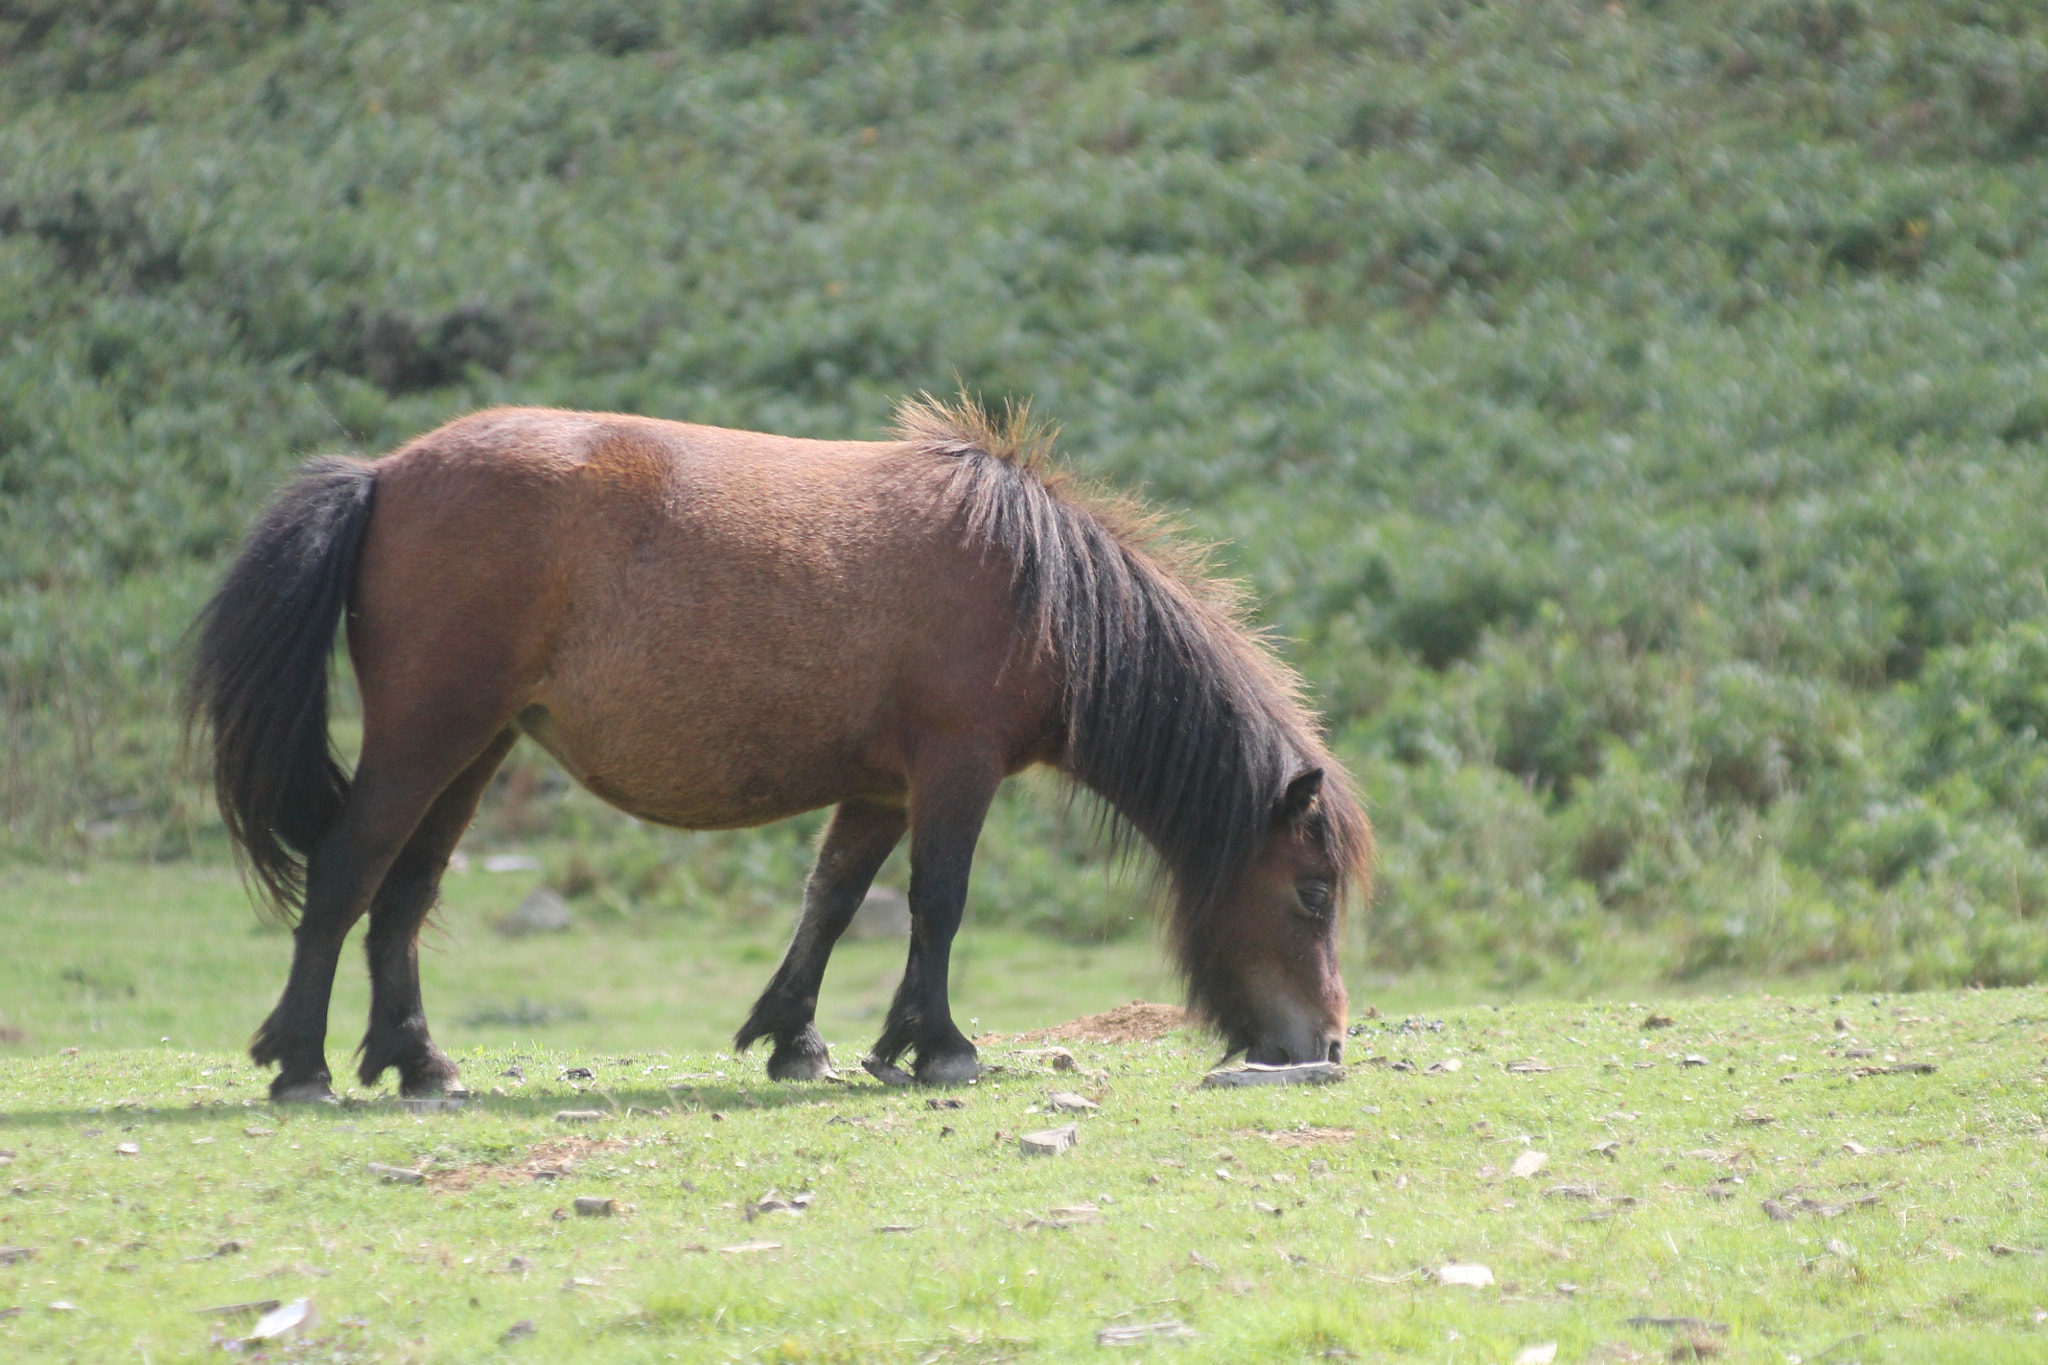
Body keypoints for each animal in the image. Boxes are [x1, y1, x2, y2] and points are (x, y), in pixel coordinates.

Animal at [188, 401, 1376, 1105]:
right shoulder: (954, 769)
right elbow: (939, 903)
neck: (1037, 588)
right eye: (1311, 893)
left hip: (471, 751)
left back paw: (417, 1061)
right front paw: (940, 1046)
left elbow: (834, 901)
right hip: (427, 736)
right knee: (349, 873)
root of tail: (383, 472)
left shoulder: (882, 789)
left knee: (405, 895)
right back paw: (301, 1064)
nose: (1321, 1047)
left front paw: (803, 1039)